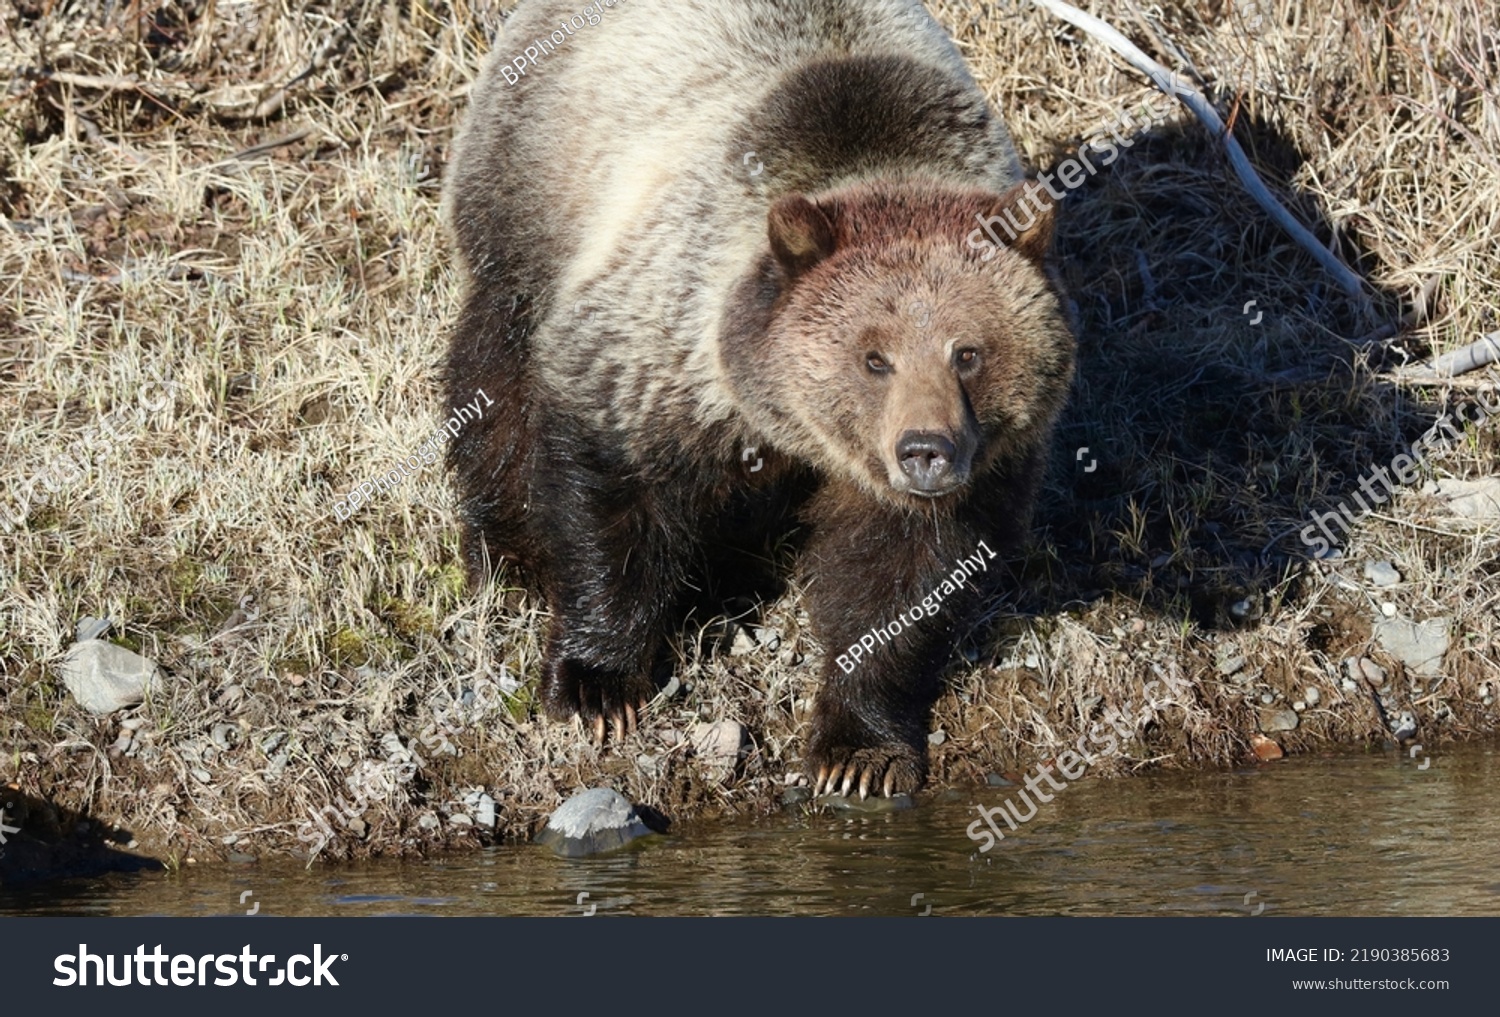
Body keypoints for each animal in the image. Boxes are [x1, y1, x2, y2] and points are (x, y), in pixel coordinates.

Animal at [438, 0, 1074, 798]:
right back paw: (509, 554)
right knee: (497, 368)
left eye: (969, 352)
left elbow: (905, 580)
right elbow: (608, 486)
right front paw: (595, 685)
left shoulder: (967, 475)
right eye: (874, 357)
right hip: (533, 180)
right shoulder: (666, 340)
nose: (926, 451)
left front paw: (858, 752)